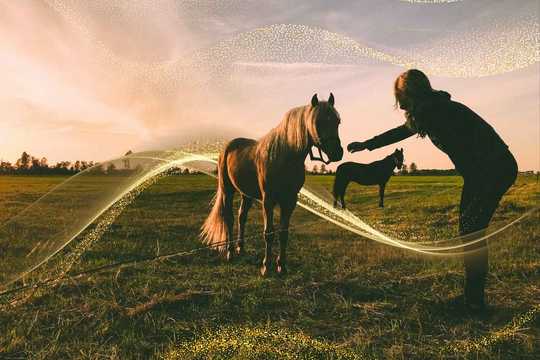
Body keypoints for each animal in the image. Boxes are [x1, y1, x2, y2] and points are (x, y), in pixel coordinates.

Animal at [200, 93, 344, 276]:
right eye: (318, 121)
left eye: (337, 121)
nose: (337, 152)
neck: (285, 156)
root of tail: (228, 147)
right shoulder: (268, 200)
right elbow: (269, 233)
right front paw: (266, 267)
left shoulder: (290, 200)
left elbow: (283, 233)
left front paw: (282, 266)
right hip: (227, 190)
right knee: (229, 218)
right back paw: (230, 252)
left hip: (246, 194)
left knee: (241, 217)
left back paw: (241, 248)